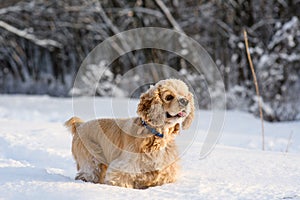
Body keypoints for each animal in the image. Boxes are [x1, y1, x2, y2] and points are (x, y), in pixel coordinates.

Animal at [65, 79, 195, 188]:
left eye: (185, 96)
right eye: (169, 97)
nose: (185, 101)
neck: (156, 136)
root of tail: (80, 125)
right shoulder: (122, 169)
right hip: (92, 161)